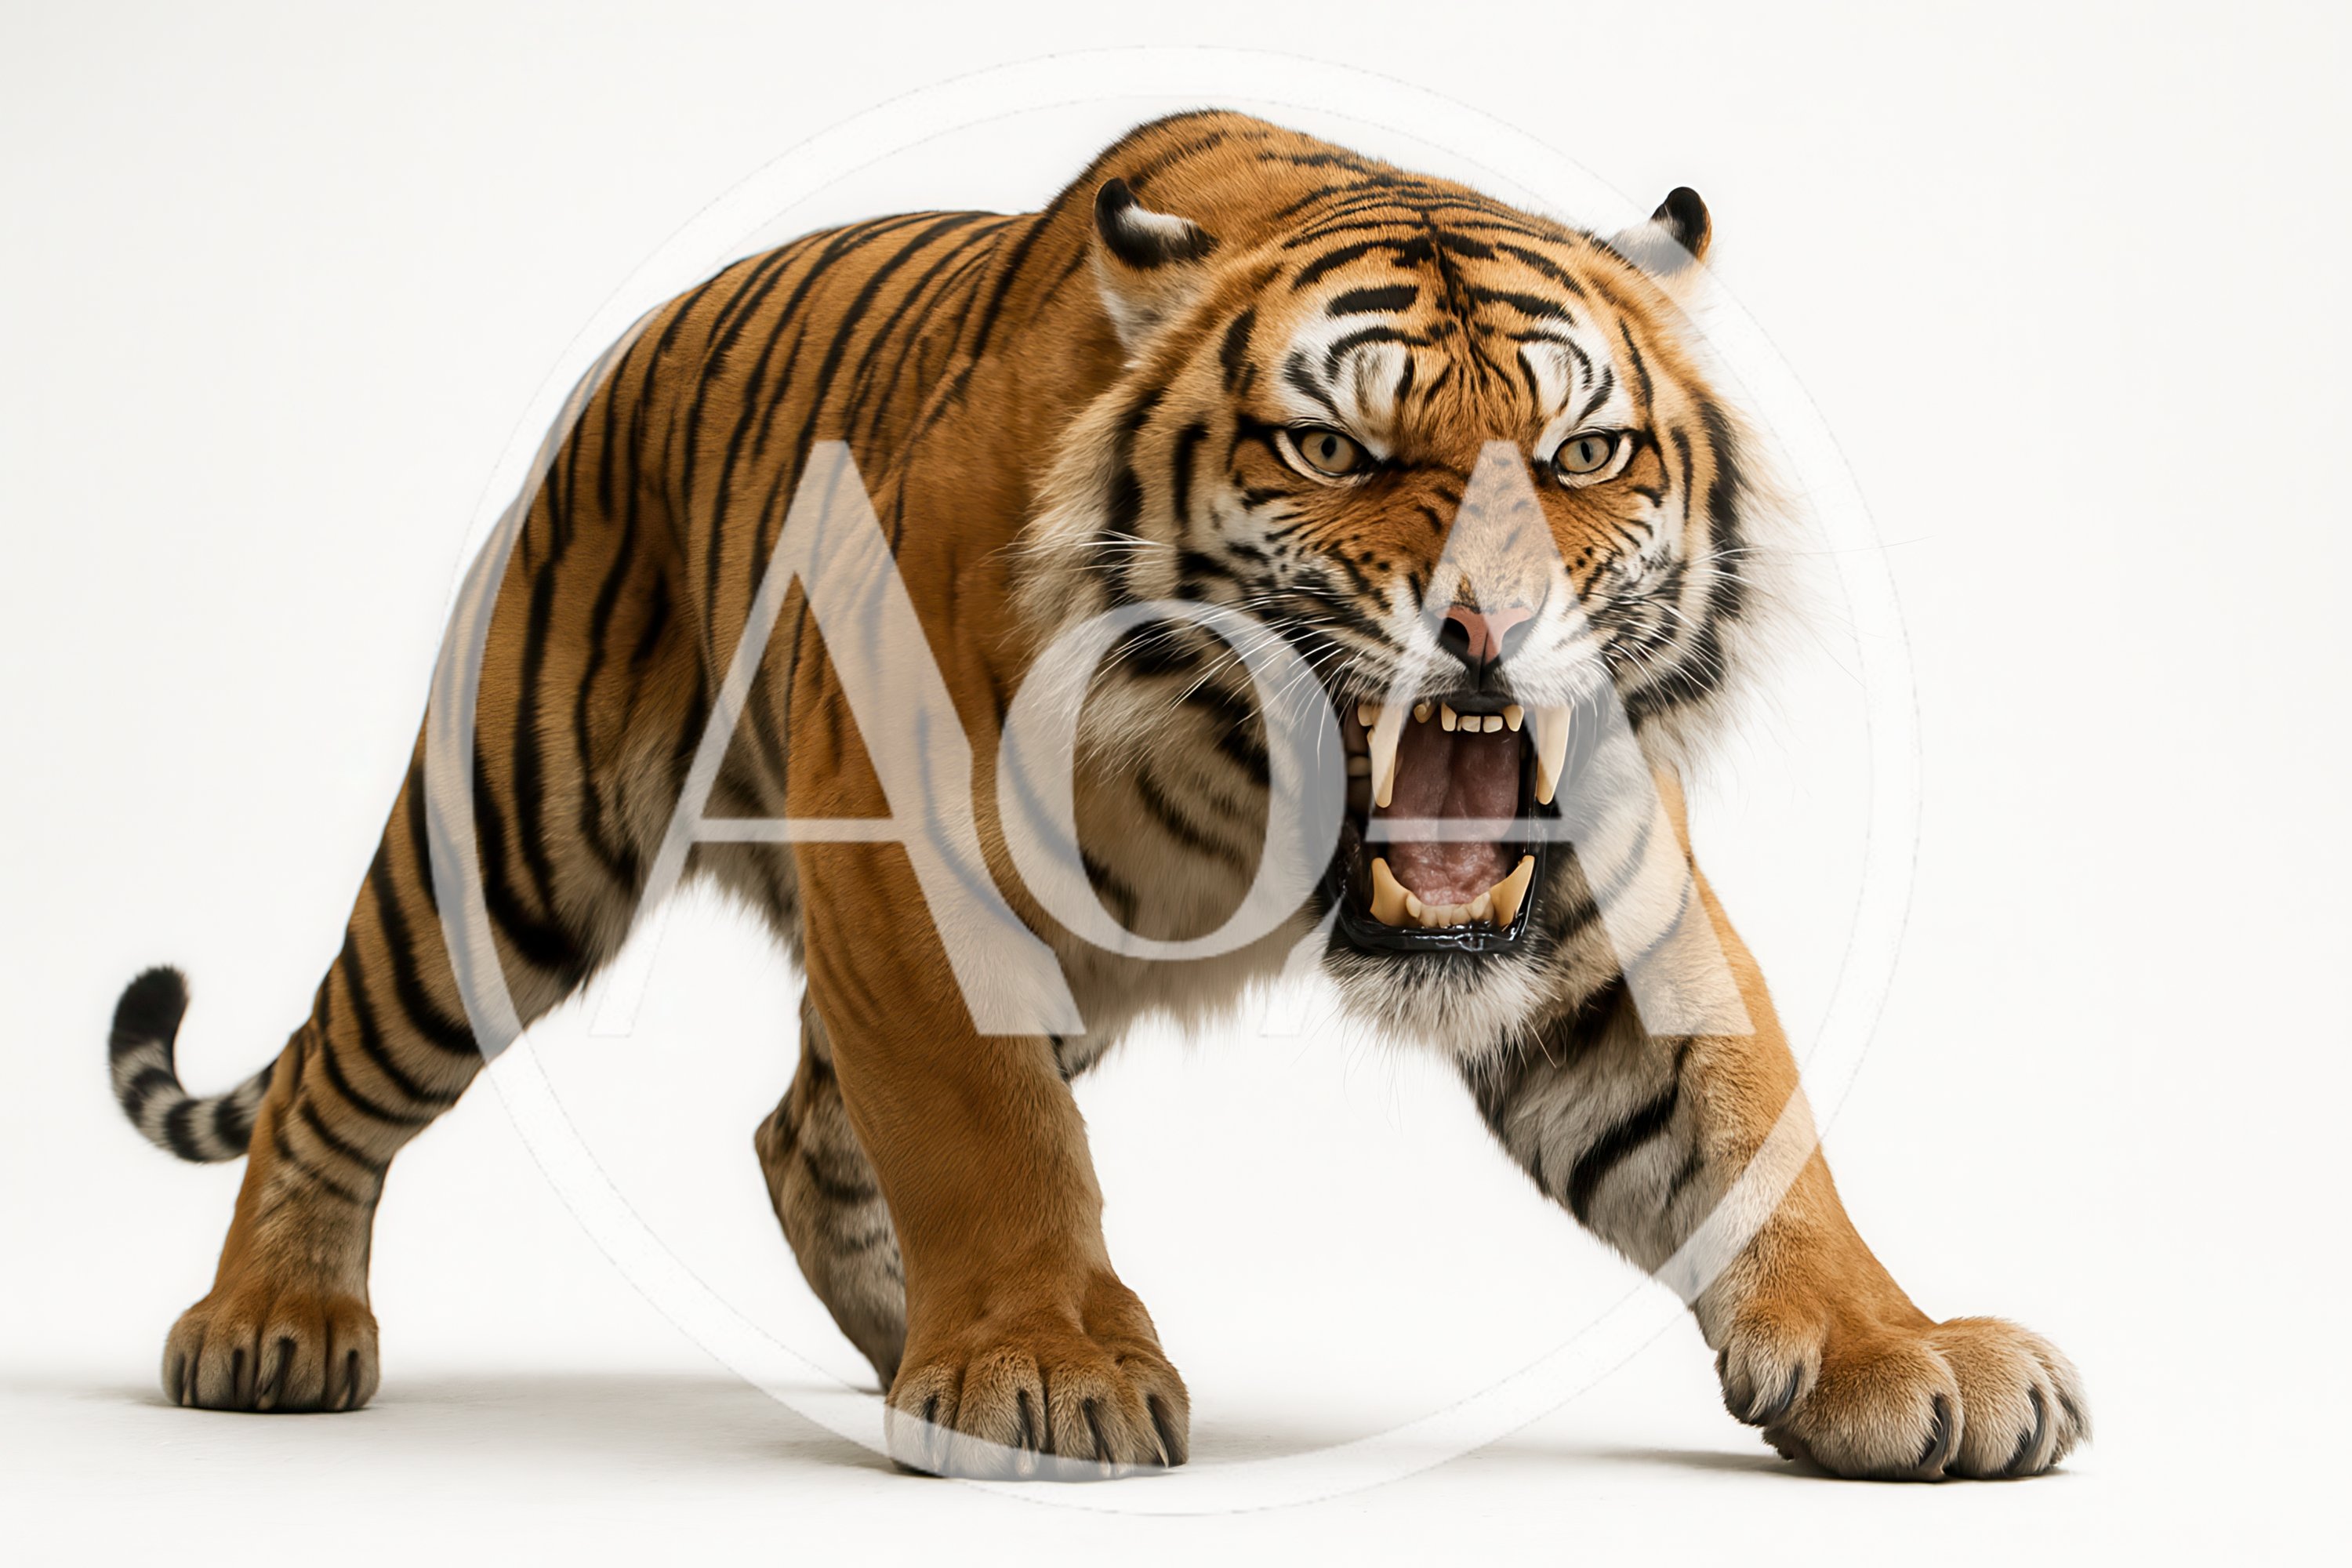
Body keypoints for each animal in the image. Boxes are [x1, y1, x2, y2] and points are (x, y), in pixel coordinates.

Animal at [106, 109, 2086, 1481]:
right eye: (1336, 446)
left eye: (1584, 449)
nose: (1493, 626)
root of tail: (643, 338)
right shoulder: (911, 860)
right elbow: (986, 1129)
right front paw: (1048, 1361)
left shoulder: (1592, 895)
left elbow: (1743, 1122)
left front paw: (1901, 1353)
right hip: (510, 840)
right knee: (339, 1071)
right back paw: (272, 1327)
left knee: (802, 1129)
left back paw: (904, 1342)